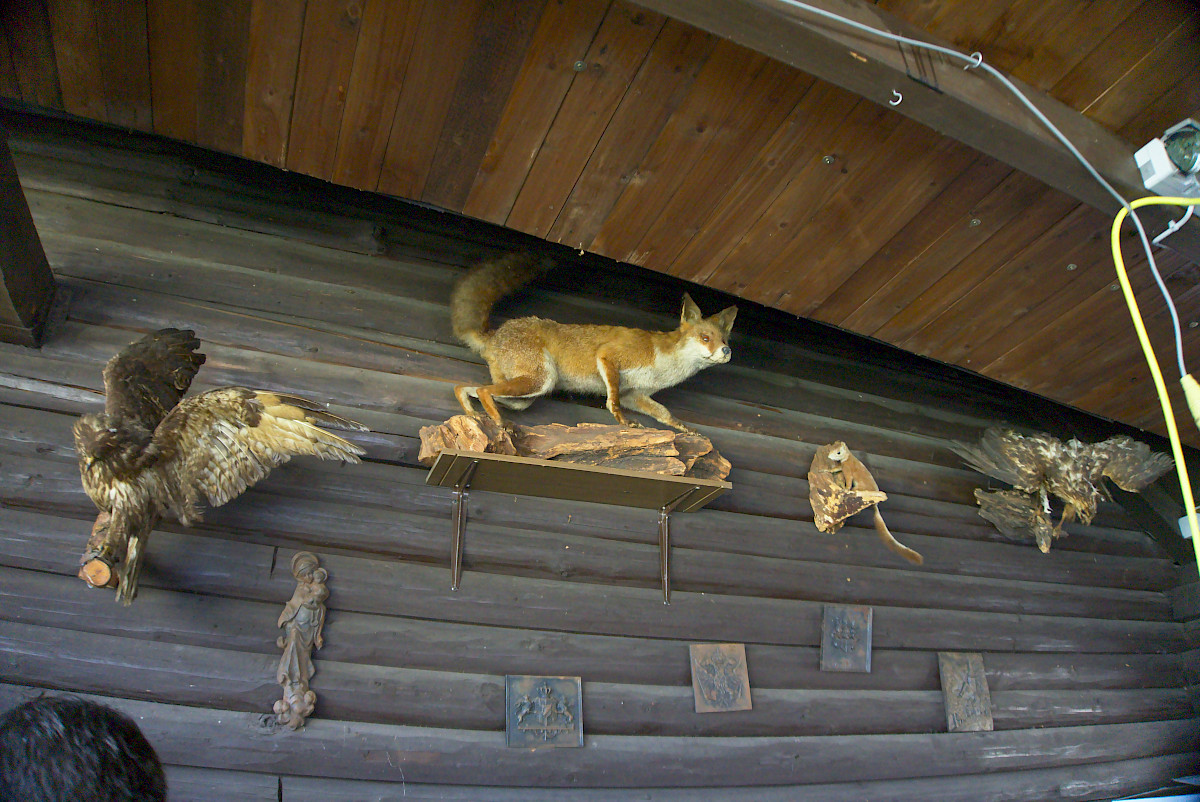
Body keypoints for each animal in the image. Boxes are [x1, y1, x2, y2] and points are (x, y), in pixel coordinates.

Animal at [451, 255, 734, 432]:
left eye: (724, 339)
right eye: (705, 338)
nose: (727, 351)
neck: (664, 366)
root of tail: (495, 334)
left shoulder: (636, 395)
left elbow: (665, 414)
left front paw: (687, 429)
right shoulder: (610, 355)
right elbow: (613, 400)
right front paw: (622, 421)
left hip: (524, 396)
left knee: (465, 387)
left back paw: (472, 413)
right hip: (540, 380)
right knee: (483, 390)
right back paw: (498, 421)